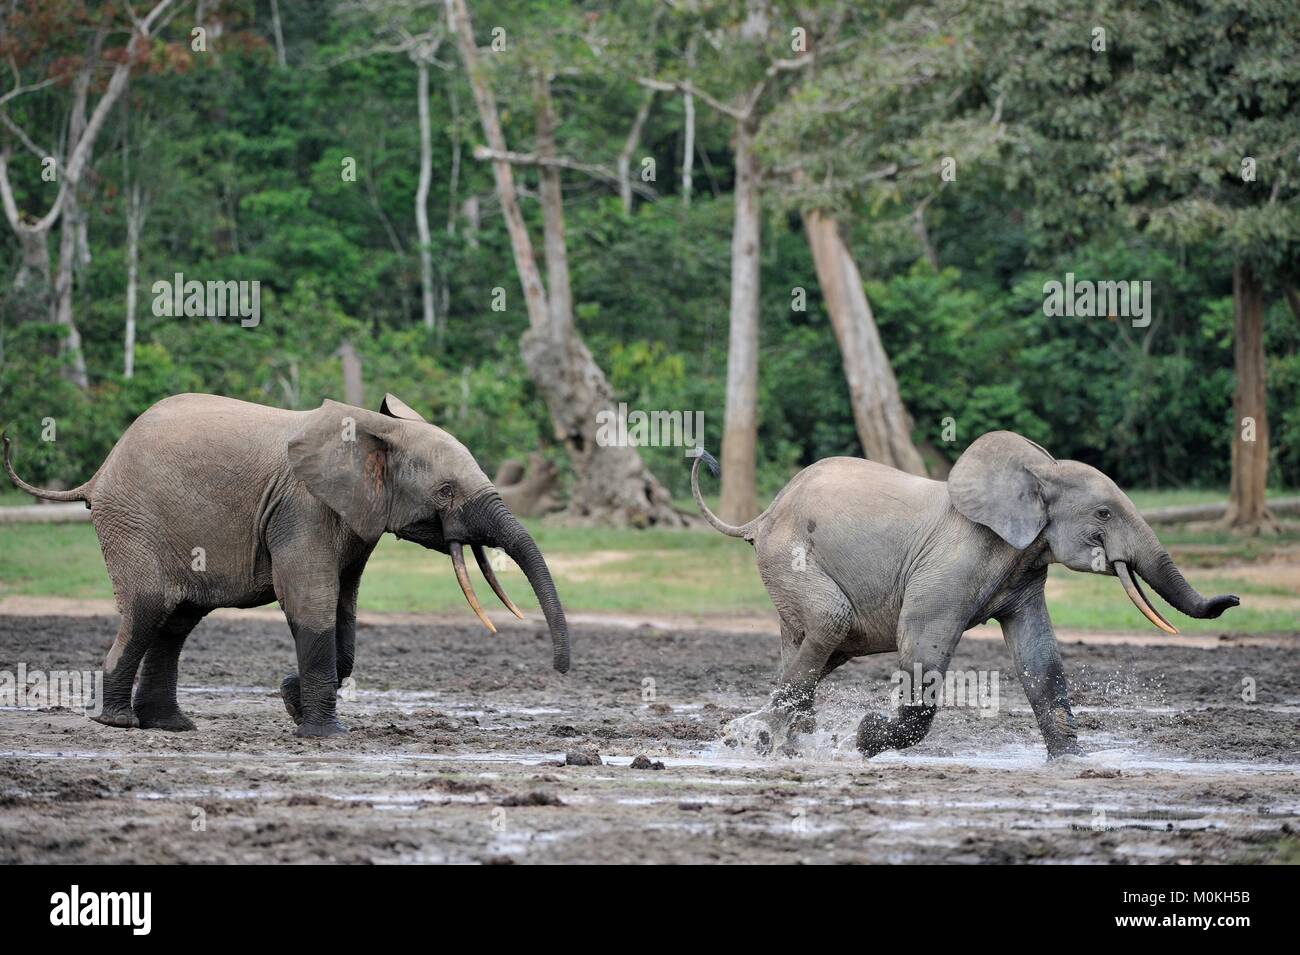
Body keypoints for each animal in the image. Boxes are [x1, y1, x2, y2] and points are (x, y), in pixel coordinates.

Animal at [3, 392, 569, 737]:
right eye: (446, 491)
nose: (561, 672)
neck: (374, 430)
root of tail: (98, 475)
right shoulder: (302, 507)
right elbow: (310, 600)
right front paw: (323, 732)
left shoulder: (352, 519)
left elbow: (344, 611)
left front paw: (290, 700)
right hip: (133, 521)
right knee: (148, 609)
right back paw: (118, 724)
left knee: (176, 621)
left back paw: (171, 726)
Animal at [689, 432, 1239, 759]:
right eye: (1104, 514)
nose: (1233, 601)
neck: (1039, 471)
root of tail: (762, 516)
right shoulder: (952, 563)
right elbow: (922, 645)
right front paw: (865, 736)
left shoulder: (1023, 569)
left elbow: (1039, 657)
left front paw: (1072, 762)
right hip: (790, 557)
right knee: (831, 622)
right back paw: (760, 738)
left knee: (821, 646)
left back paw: (771, 740)